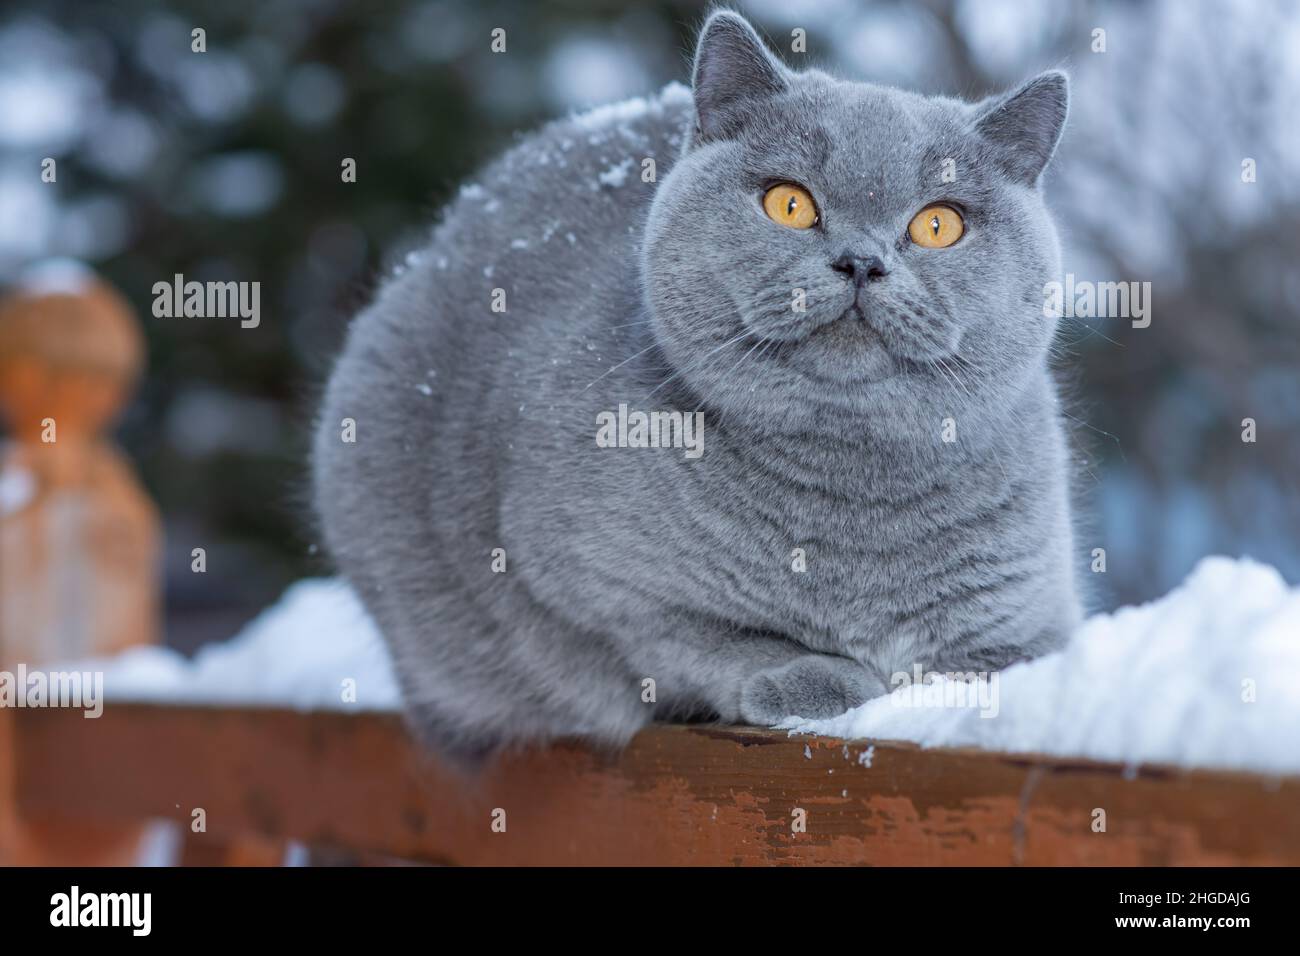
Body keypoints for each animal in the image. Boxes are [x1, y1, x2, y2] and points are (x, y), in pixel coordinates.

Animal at [309, 9, 1081, 764]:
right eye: (790, 205)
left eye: (939, 223)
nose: (861, 261)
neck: (852, 493)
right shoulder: (581, 582)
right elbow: (704, 636)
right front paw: (818, 679)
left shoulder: (1030, 626)